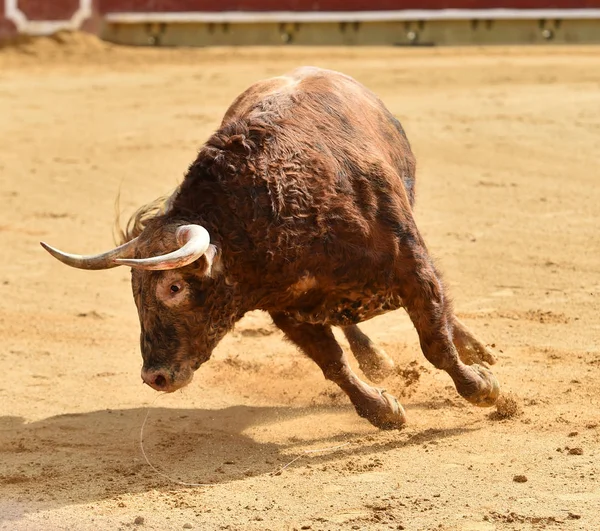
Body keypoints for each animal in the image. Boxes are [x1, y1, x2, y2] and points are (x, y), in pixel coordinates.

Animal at [42, 67, 500, 432]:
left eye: (174, 287)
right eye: (135, 291)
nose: (154, 377)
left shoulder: (411, 264)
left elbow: (435, 339)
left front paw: (484, 388)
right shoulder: (288, 310)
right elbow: (333, 364)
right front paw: (382, 409)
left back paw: (477, 350)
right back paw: (377, 359)